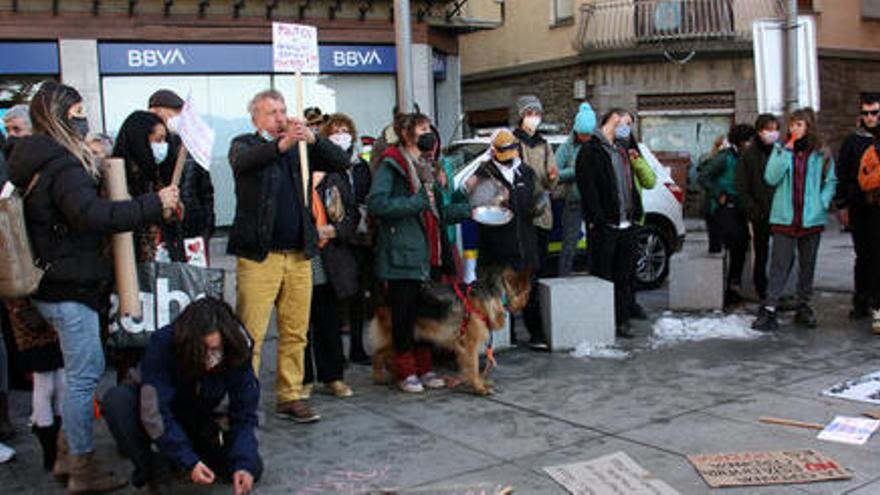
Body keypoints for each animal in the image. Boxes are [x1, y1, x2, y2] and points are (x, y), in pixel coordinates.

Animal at [370, 270, 528, 398]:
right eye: (527, 293)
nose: (526, 303)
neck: (490, 294)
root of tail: (384, 294)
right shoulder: (469, 344)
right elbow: (474, 366)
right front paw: (479, 388)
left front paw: (479, 382)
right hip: (399, 335)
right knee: (378, 354)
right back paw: (381, 377)